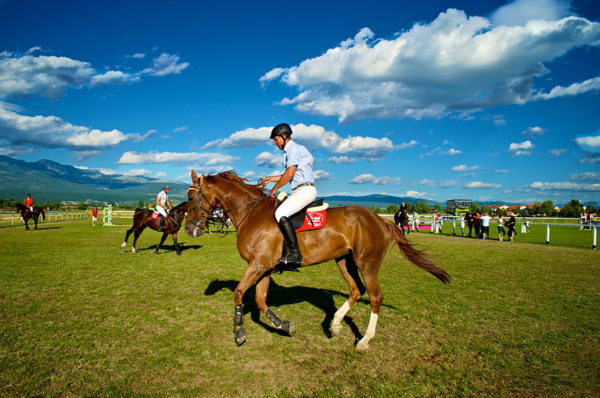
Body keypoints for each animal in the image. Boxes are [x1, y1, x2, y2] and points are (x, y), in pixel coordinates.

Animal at [186, 169, 450, 350]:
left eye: (190, 197)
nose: (189, 229)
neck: (250, 213)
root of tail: (380, 220)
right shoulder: (263, 267)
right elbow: (260, 301)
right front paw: (282, 325)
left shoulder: (258, 265)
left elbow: (239, 293)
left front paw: (239, 332)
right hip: (344, 261)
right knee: (356, 290)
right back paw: (334, 325)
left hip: (367, 263)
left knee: (376, 296)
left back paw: (364, 340)